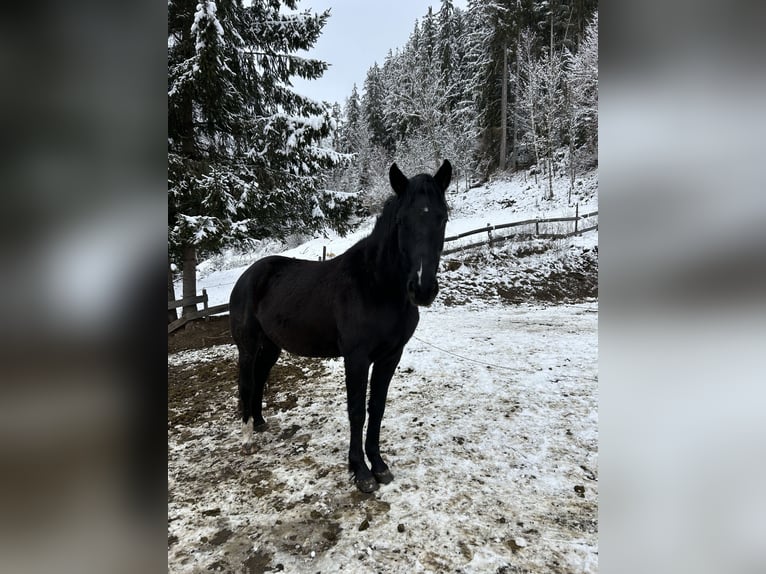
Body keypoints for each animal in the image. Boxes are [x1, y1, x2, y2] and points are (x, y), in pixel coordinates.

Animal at [229, 160, 452, 493]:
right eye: (401, 221)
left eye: (443, 217)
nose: (422, 289)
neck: (376, 284)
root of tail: (248, 275)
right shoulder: (356, 358)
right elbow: (357, 411)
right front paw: (360, 472)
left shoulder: (390, 356)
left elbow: (377, 408)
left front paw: (380, 466)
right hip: (247, 346)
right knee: (246, 383)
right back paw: (246, 440)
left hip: (271, 347)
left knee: (260, 379)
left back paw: (259, 424)